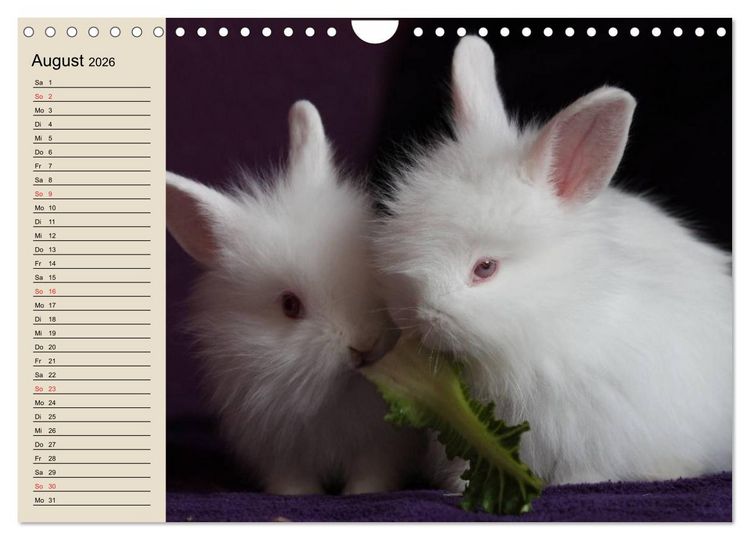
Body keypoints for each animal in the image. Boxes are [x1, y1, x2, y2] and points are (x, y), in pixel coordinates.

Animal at [166, 100, 424, 495]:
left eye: (372, 272)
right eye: (290, 306)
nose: (363, 345)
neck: (333, 396)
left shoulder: (381, 446)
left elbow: (371, 475)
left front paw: (361, 493)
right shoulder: (277, 449)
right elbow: (293, 481)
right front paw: (299, 495)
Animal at [373, 36, 732, 487]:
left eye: (485, 268)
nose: (421, 318)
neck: (553, 316)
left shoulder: (595, 427)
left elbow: (588, 466)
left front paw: (579, 482)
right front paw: (457, 488)